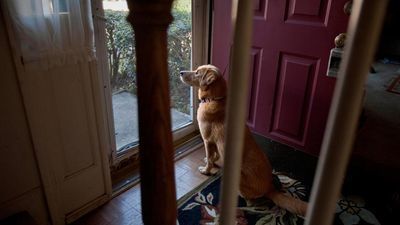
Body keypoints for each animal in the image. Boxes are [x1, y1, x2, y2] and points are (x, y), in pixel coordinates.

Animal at [180, 64, 308, 215]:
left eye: (197, 73)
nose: (181, 72)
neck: (215, 99)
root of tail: (269, 188)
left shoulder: (207, 140)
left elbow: (210, 159)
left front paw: (206, 170)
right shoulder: (215, 142)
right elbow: (214, 155)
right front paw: (211, 160)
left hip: (239, 180)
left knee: (251, 203)